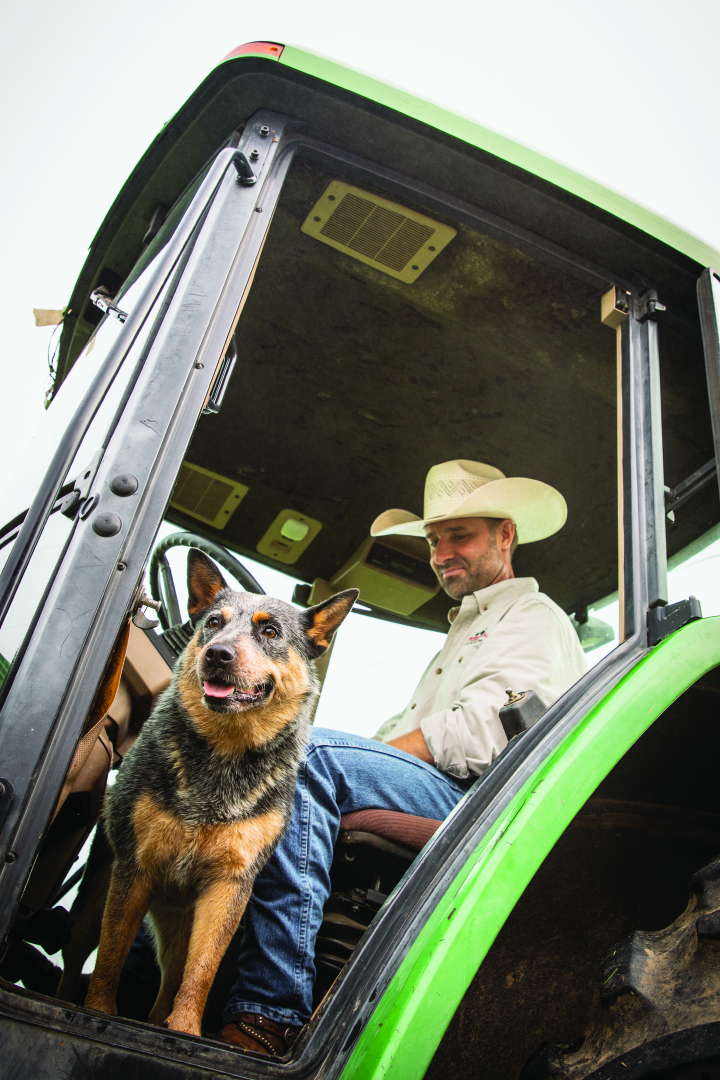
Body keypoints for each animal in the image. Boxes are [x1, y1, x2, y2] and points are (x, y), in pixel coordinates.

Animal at [56, 552, 358, 1032]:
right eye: (214, 623)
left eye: (270, 632)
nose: (217, 653)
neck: (225, 755)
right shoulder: (135, 868)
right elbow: (110, 958)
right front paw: (98, 1013)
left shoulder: (228, 886)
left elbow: (201, 972)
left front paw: (182, 1030)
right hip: (101, 897)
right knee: (79, 958)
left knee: (171, 979)